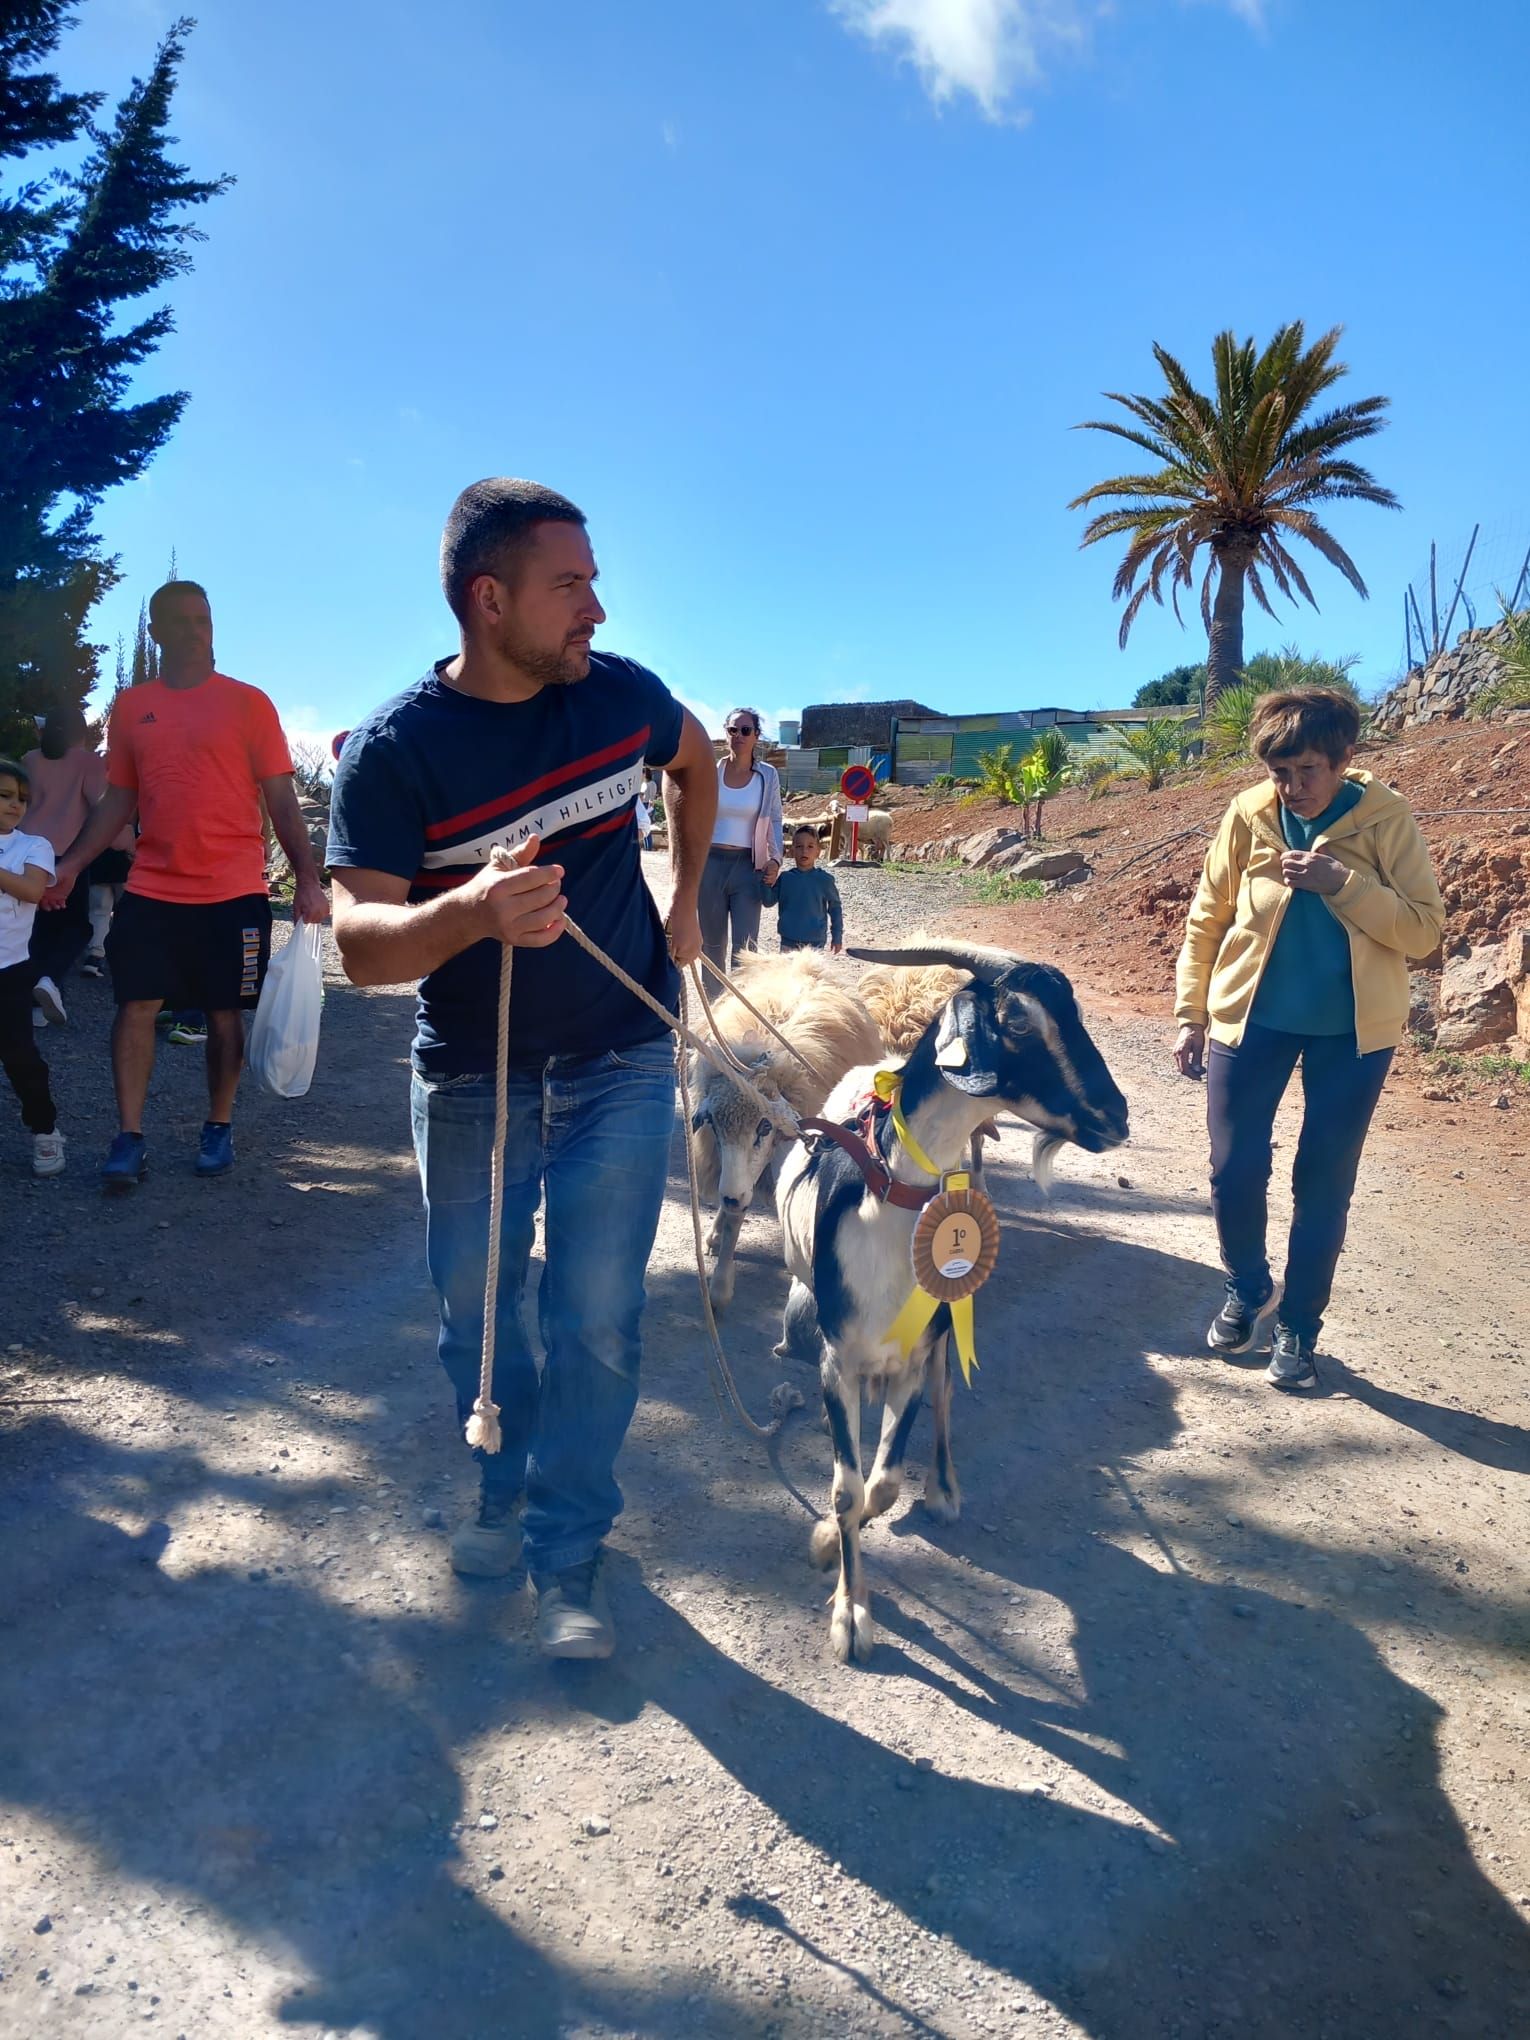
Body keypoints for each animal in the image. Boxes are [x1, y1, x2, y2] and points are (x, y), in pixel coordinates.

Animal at [689, 950, 881, 1305]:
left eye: (765, 1127)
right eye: (714, 1125)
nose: (730, 1197)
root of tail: (802, 957)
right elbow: (736, 1212)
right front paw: (720, 1284)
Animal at [779, 938, 1126, 1656]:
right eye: (1018, 1019)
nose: (1117, 1117)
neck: (891, 1194)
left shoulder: (913, 1353)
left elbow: (883, 1484)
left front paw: (833, 1557)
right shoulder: (837, 1358)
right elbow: (848, 1490)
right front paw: (848, 1608)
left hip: (946, 1324)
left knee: (943, 1395)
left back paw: (943, 1488)